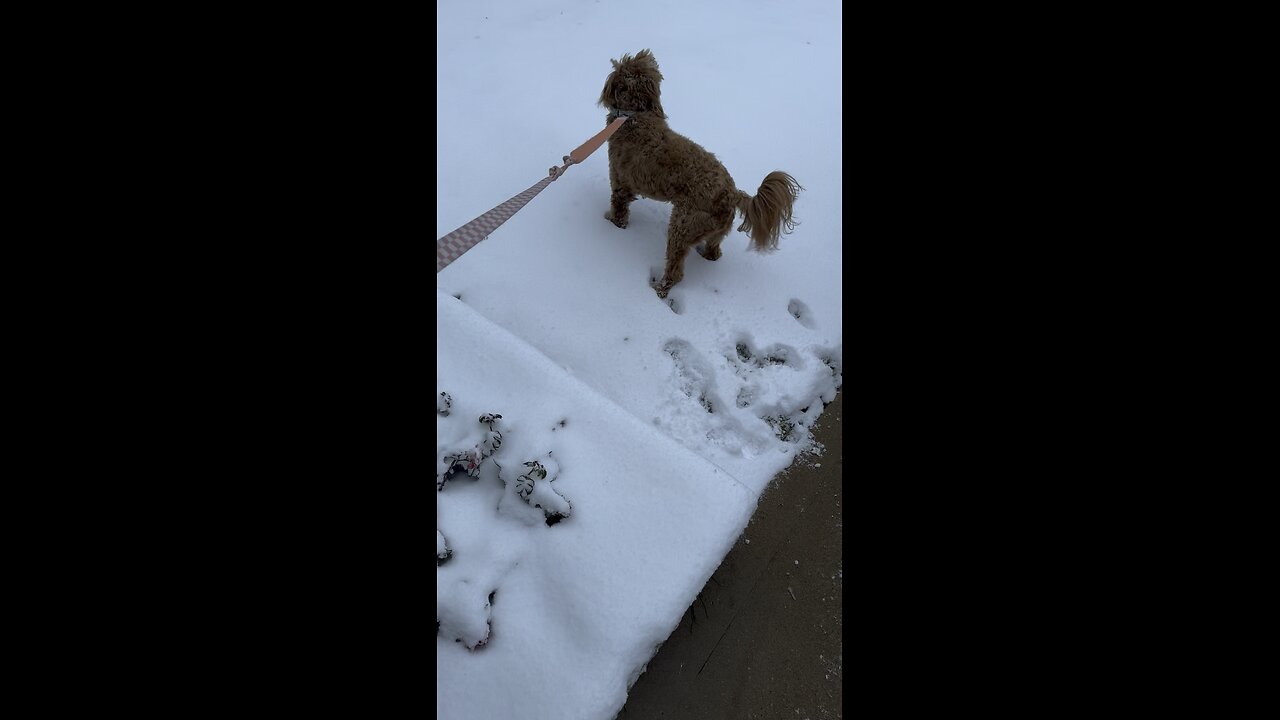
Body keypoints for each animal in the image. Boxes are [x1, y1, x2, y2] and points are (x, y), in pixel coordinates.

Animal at [599, 49, 798, 297]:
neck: (635, 115)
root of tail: (732, 193)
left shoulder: (620, 181)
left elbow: (619, 208)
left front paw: (612, 224)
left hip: (683, 224)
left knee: (675, 269)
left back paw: (660, 288)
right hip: (716, 228)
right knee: (715, 249)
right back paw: (707, 255)